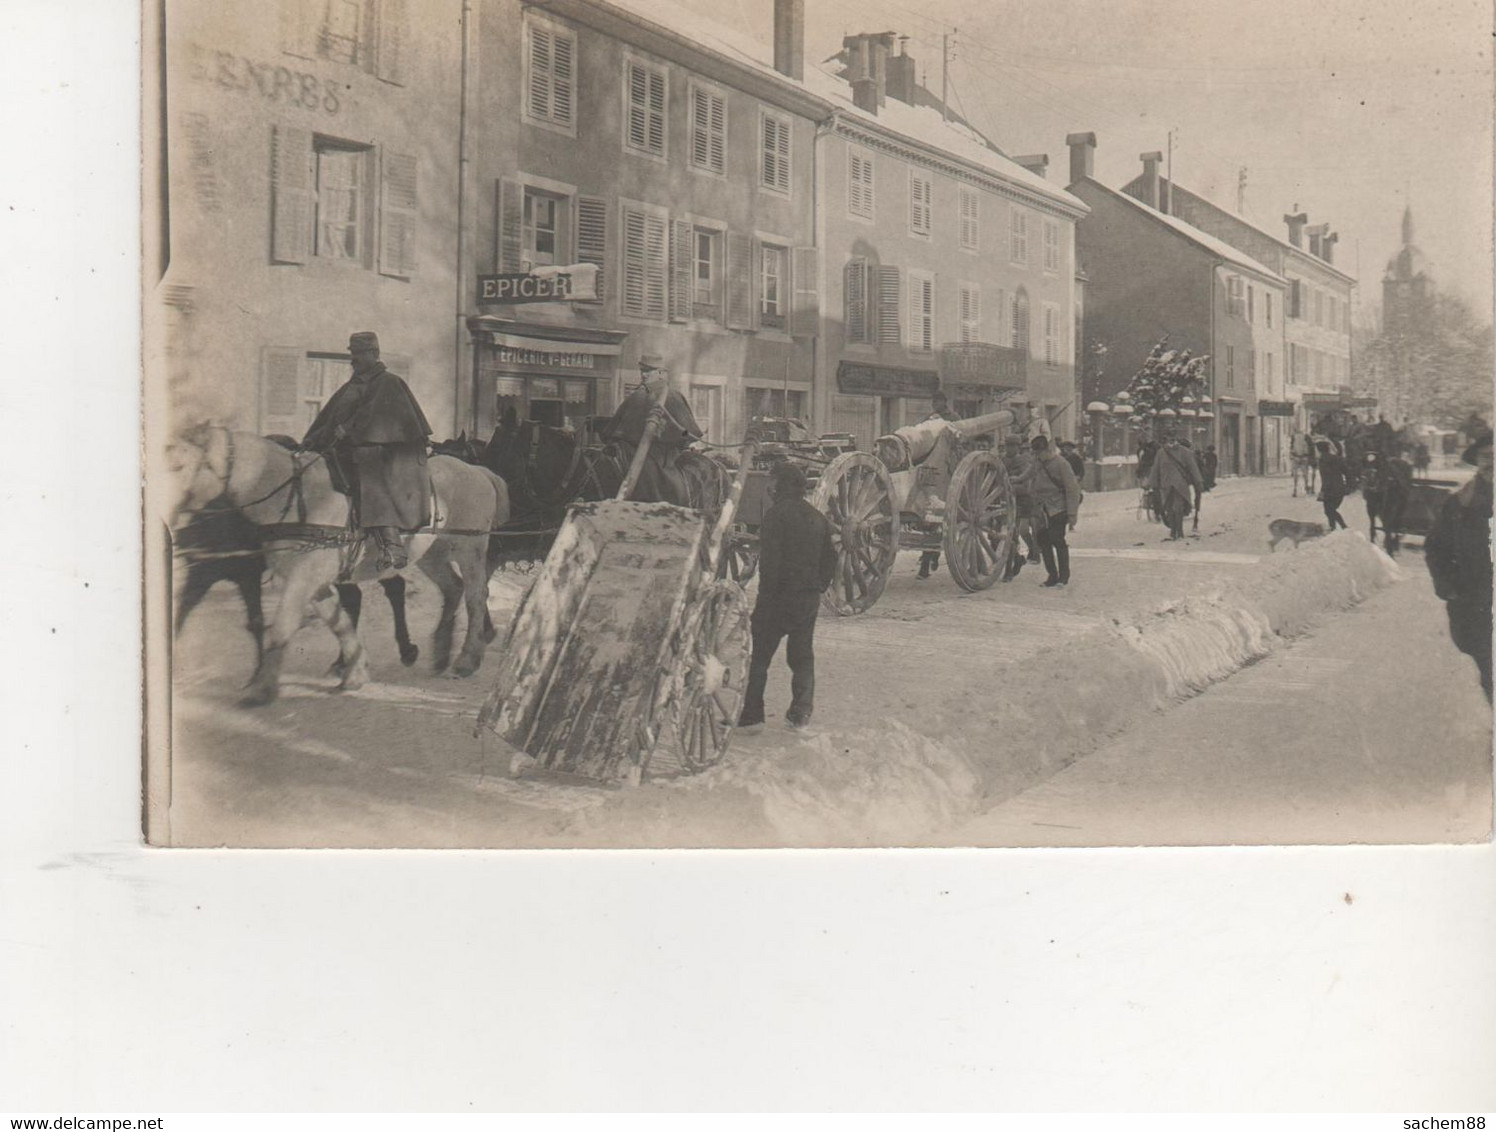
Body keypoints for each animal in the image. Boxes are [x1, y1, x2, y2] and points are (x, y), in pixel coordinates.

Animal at [168, 424, 508, 702]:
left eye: (179, 465)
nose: (172, 521)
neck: (295, 499)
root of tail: (480, 472)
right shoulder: (312, 583)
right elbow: (340, 622)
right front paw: (354, 673)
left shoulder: (302, 580)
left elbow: (282, 626)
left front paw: (261, 688)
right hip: (432, 553)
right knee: (453, 588)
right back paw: (440, 651)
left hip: (470, 548)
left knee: (476, 597)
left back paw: (466, 660)